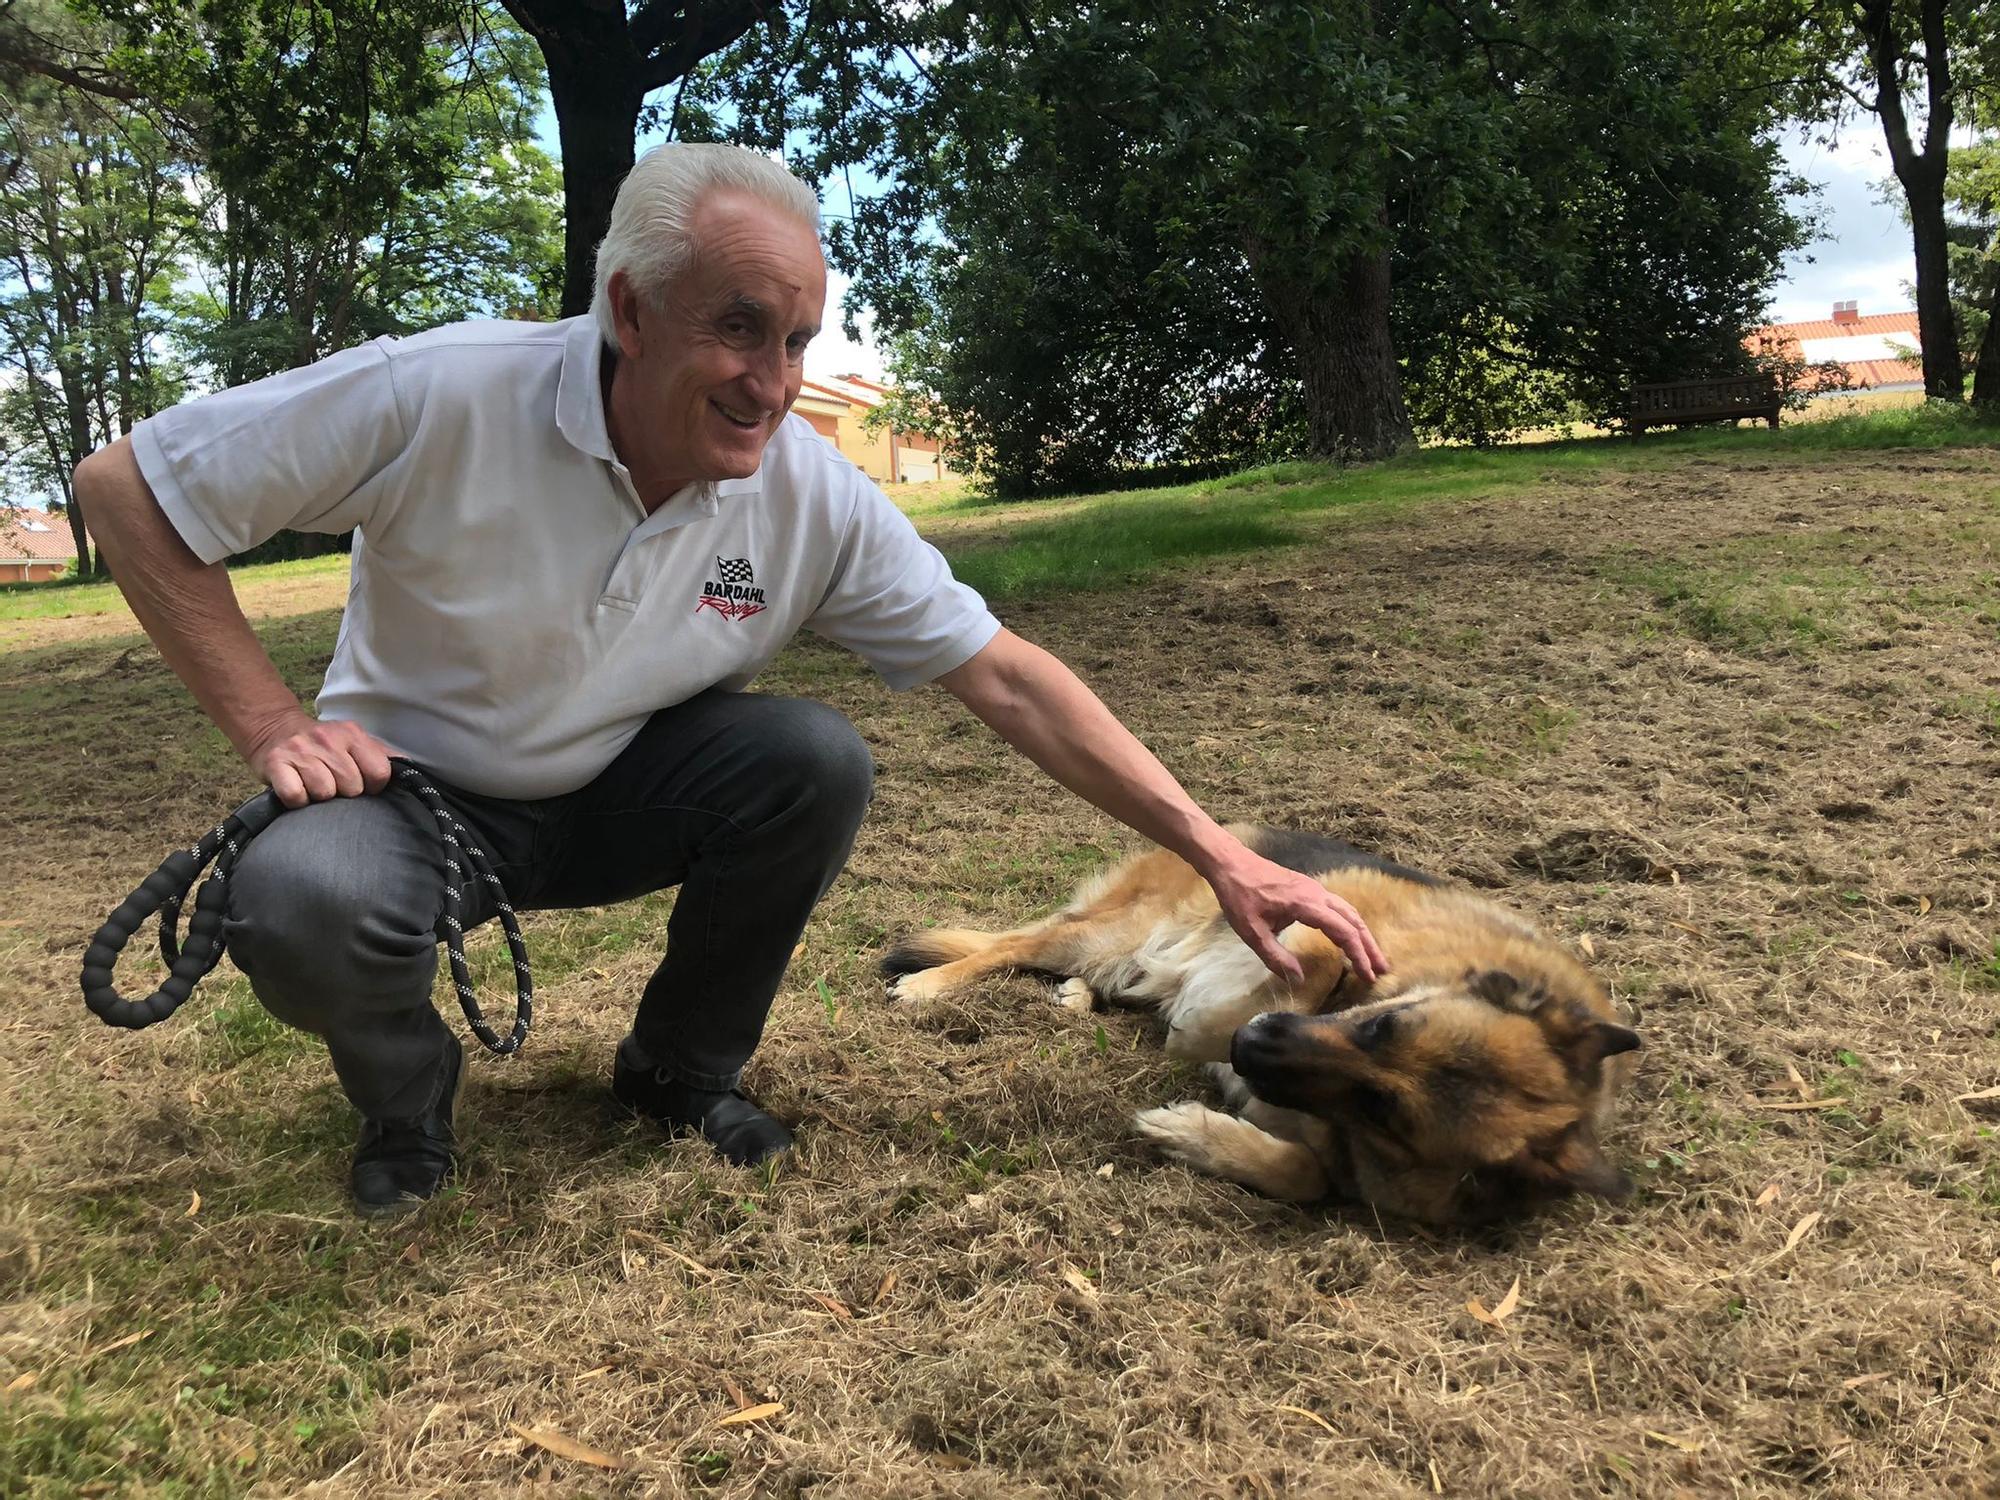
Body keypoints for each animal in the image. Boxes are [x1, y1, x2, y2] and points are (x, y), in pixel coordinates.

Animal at [884, 824, 1632, 1232]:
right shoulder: (1334, 926)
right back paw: (930, 985)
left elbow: (1305, 1173)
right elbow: (1308, 960)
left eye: (1382, 1110)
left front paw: (1199, 1134)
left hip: (1120, 955)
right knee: (1013, 946)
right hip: (1115, 931)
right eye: (1383, 1026)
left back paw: (1078, 997)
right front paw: (1203, 1029)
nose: (1251, 1046)